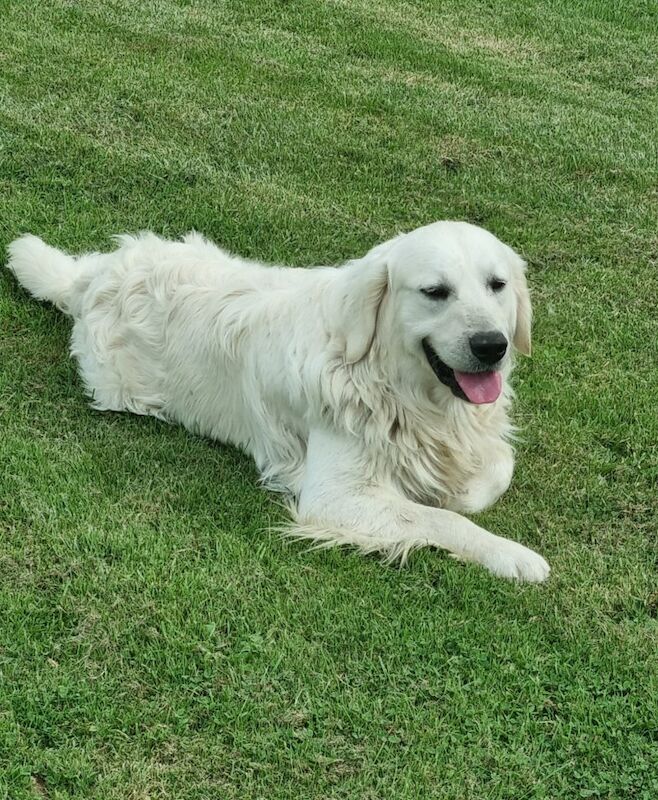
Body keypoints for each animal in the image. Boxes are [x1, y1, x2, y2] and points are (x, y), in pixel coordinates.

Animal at [6, 222, 548, 584]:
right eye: (435, 292)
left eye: (497, 285)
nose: (492, 346)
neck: (399, 389)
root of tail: (96, 276)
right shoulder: (334, 497)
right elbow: (442, 518)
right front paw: (512, 555)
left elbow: (491, 477)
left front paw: (449, 486)